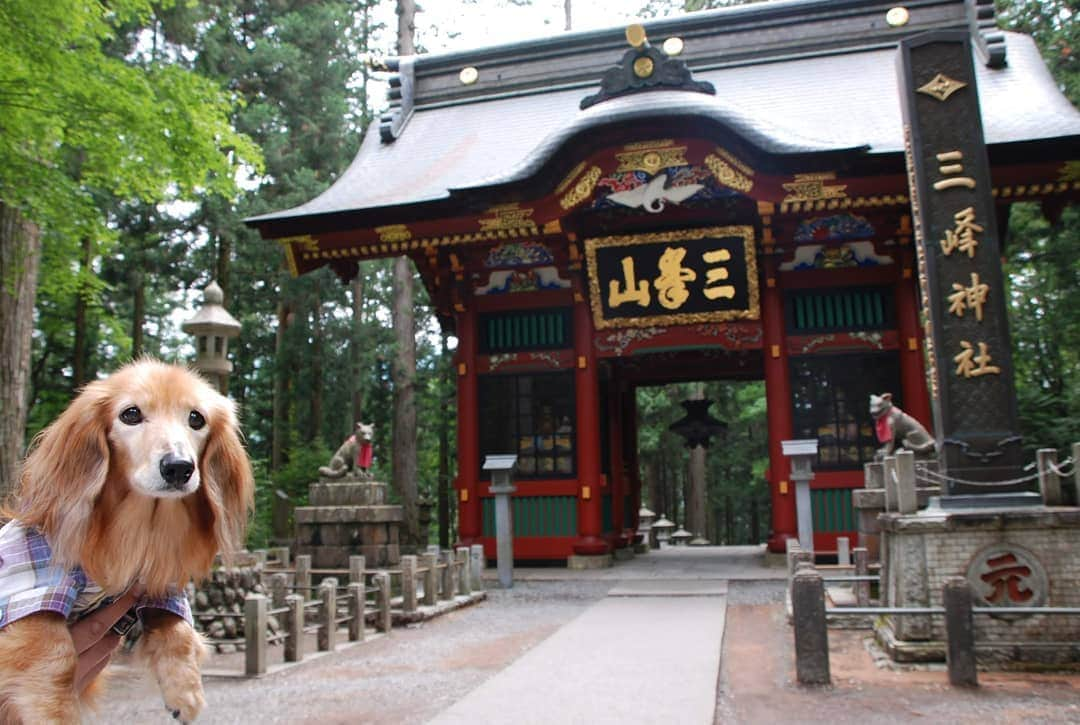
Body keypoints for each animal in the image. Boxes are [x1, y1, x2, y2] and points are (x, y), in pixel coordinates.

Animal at [0, 360, 254, 721]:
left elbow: (176, 627)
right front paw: (59, 715)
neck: (138, 524)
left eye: (196, 419)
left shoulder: (159, 578)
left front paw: (185, 691)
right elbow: (58, 660)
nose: (178, 468)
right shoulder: (28, 587)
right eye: (130, 414)